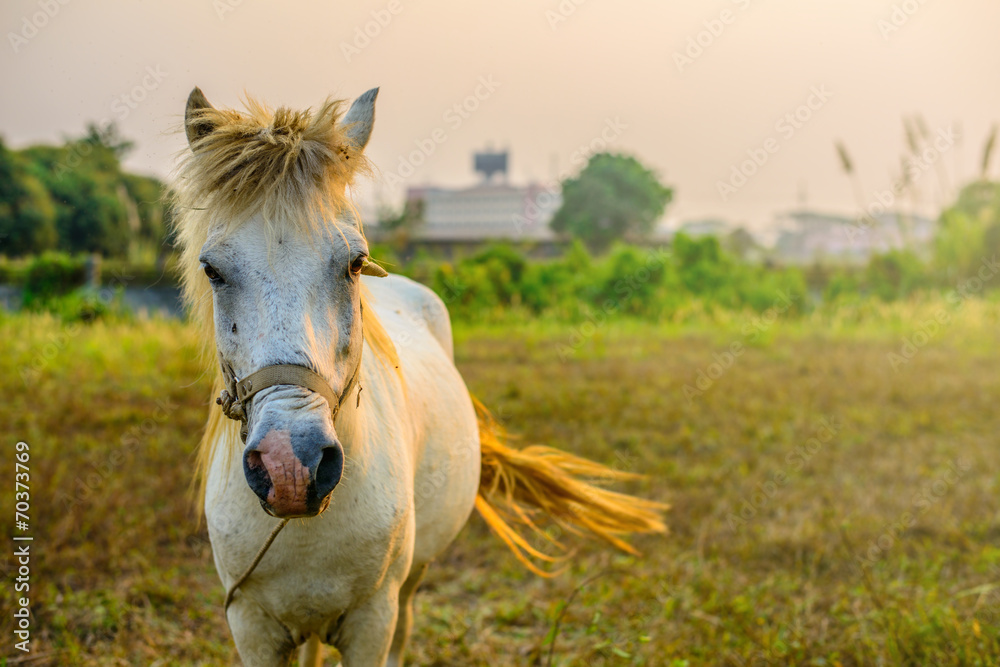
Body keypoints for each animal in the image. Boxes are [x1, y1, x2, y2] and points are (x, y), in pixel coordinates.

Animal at [172, 85, 667, 666]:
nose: (289, 465)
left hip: (411, 582)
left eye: (354, 263)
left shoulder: (372, 619)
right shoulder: (251, 625)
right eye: (212, 270)